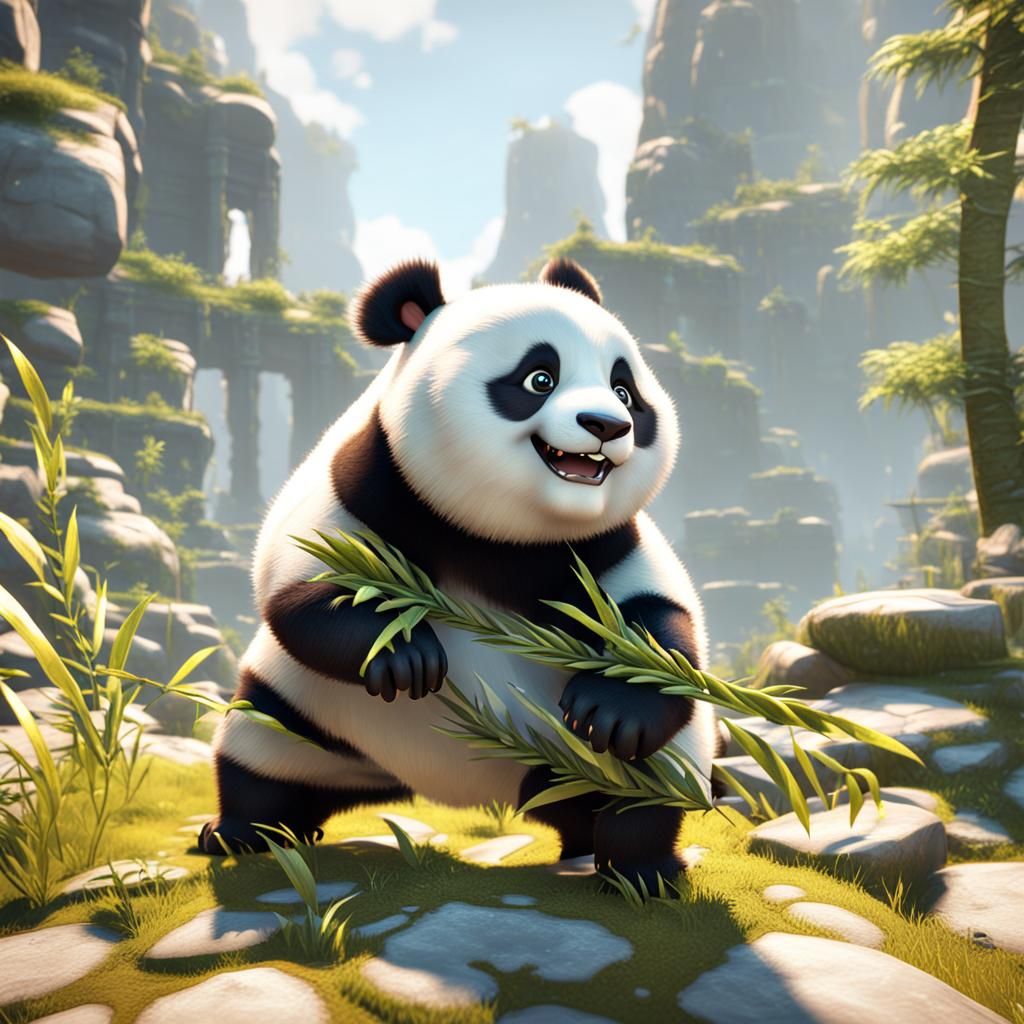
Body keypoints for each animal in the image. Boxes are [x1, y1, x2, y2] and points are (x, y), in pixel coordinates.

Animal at [199, 257, 720, 889]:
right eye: (539, 379)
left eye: (625, 390)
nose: (607, 423)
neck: (502, 536)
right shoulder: (372, 485)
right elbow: (306, 585)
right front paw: (407, 655)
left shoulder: (604, 544)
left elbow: (656, 620)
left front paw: (610, 707)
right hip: (304, 713)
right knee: (260, 759)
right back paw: (241, 834)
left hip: (608, 758)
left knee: (645, 785)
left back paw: (637, 869)